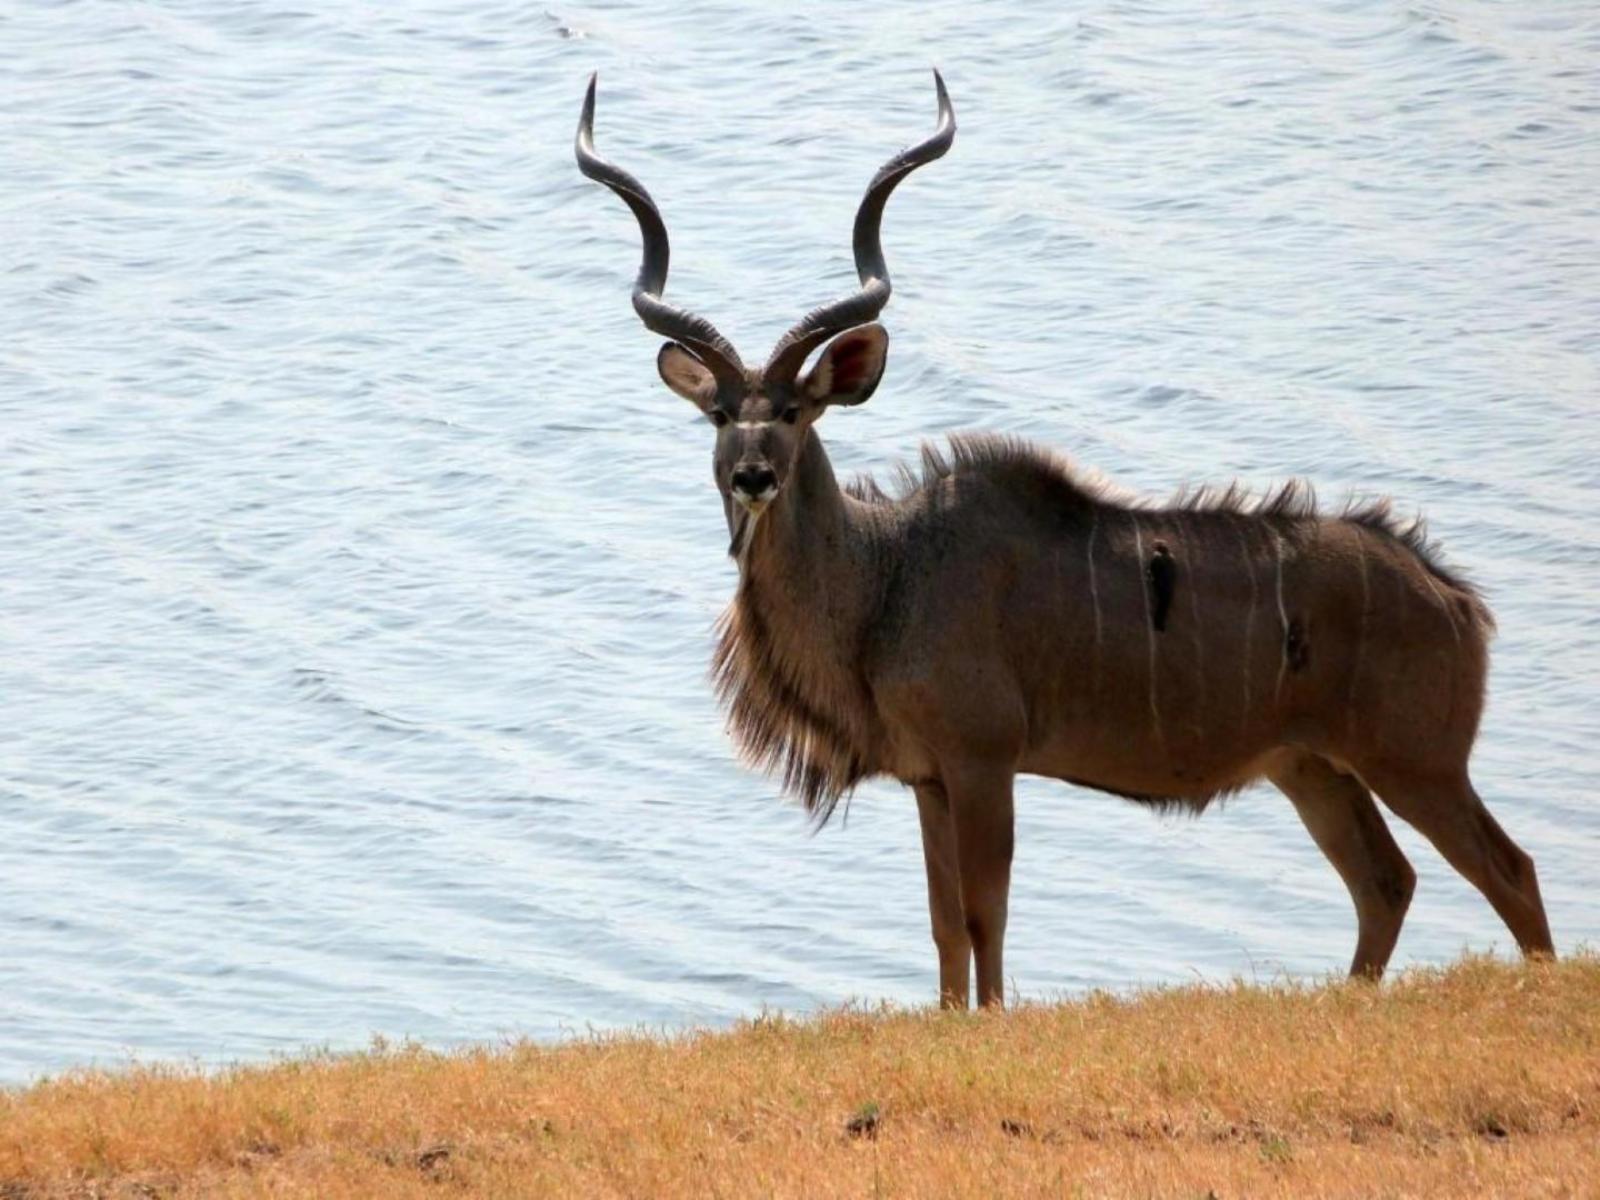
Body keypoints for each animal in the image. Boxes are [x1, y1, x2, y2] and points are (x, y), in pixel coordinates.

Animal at [575, 70, 1555, 1009]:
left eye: (791, 412)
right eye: (718, 415)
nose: (752, 476)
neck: (888, 573)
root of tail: (1454, 599)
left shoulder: (984, 762)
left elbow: (984, 912)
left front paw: (992, 1022)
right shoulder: (929, 778)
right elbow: (942, 923)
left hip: (1416, 762)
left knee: (1508, 868)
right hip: (1313, 769)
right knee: (1386, 882)